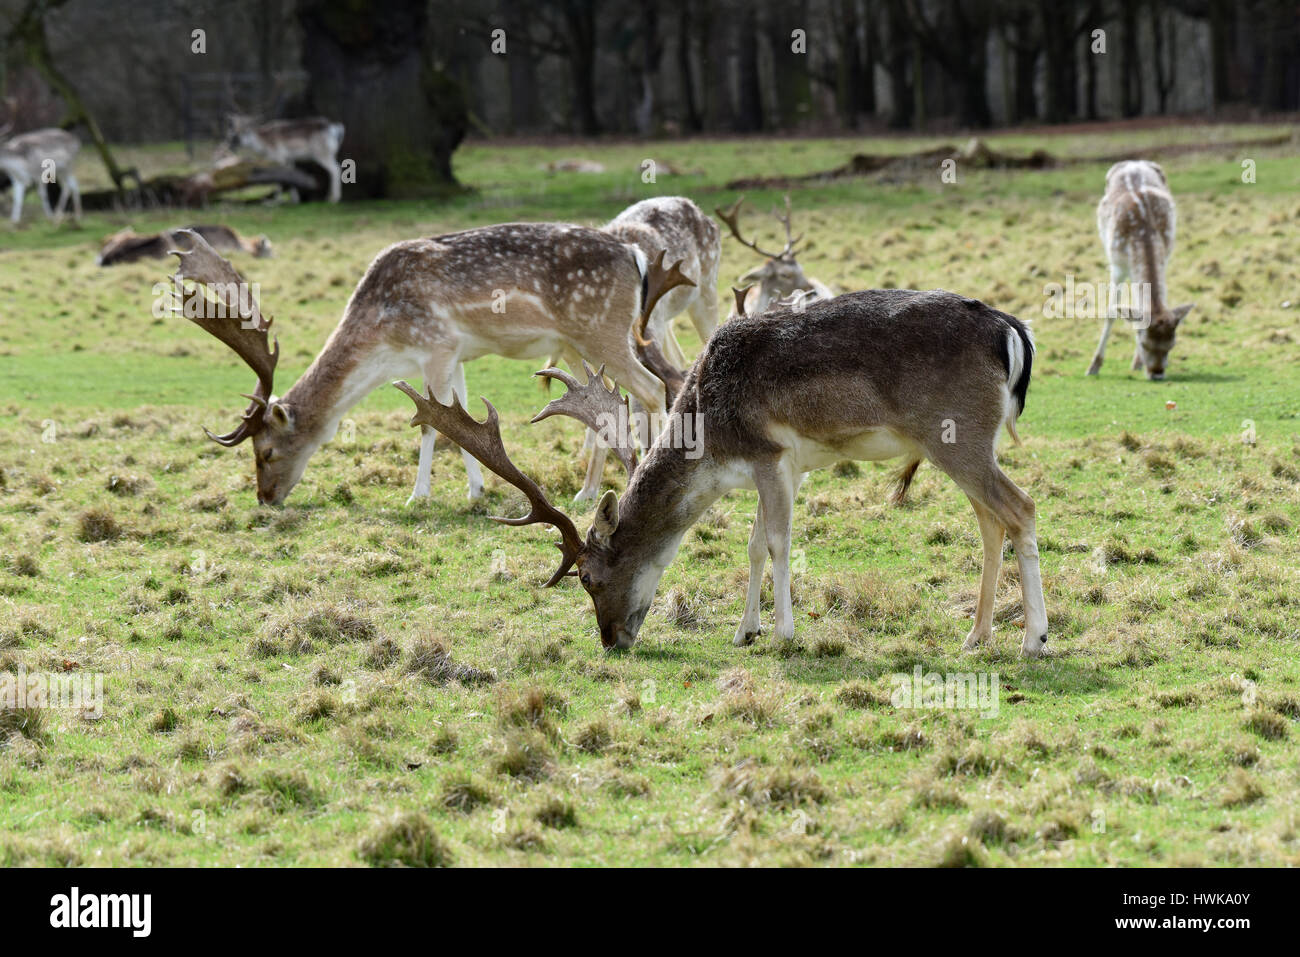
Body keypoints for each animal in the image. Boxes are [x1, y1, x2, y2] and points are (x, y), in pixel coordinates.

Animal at [167, 223, 681, 509]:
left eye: (266, 452)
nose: (264, 498)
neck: (385, 340)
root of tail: (636, 256)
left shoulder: (435, 344)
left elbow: (434, 425)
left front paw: (418, 495)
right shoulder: (455, 354)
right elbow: (465, 414)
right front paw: (477, 491)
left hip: (599, 329)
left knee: (651, 387)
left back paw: (644, 475)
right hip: (578, 344)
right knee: (613, 400)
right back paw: (588, 491)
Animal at [392, 254, 1045, 657]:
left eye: (587, 577)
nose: (611, 639)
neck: (710, 434)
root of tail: (1013, 330)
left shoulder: (769, 454)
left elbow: (778, 542)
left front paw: (783, 634)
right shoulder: (786, 467)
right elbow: (754, 543)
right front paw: (744, 631)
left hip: (955, 438)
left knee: (1021, 508)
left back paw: (1033, 639)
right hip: (967, 445)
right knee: (991, 522)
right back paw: (976, 636)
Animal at [1086, 158, 1196, 379]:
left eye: (1172, 345)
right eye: (1144, 343)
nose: (1157, 373)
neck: (1144, 232)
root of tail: (1134, 162)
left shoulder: (1165, 256)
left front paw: (1136, 362)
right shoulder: (1117, 264)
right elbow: (1111, 312)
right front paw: (1094, 366)